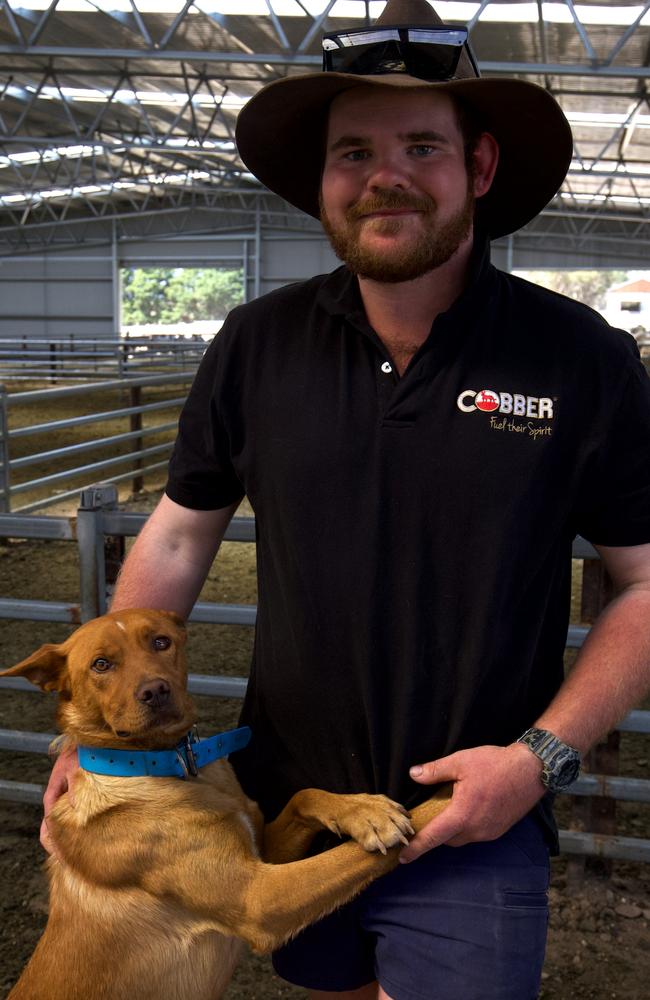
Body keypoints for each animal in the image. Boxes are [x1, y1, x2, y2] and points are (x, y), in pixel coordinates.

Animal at [1, 608, 450, 1000]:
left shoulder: (265, 855)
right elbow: (355, 855)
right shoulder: (260, 900)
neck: (172, 765)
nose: (156, 691)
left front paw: (360, 810)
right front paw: (446, 797)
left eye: (161, 642)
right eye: (100, 665)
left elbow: (303, 796)